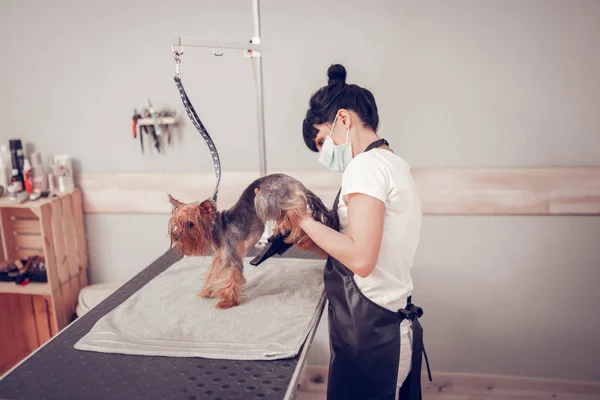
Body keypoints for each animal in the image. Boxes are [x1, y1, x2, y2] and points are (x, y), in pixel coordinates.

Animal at [169, 173, 338, 310]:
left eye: (190, 224)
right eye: (176, 222)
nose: (176, 236)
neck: (217, 227)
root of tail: (294, 181)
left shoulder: (231, 257)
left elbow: (231, 278)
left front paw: (228, 302)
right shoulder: (221, 257)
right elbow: (214, 273)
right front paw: (207, 291)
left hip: (266, 197)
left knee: (297, 211)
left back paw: (287, 229)